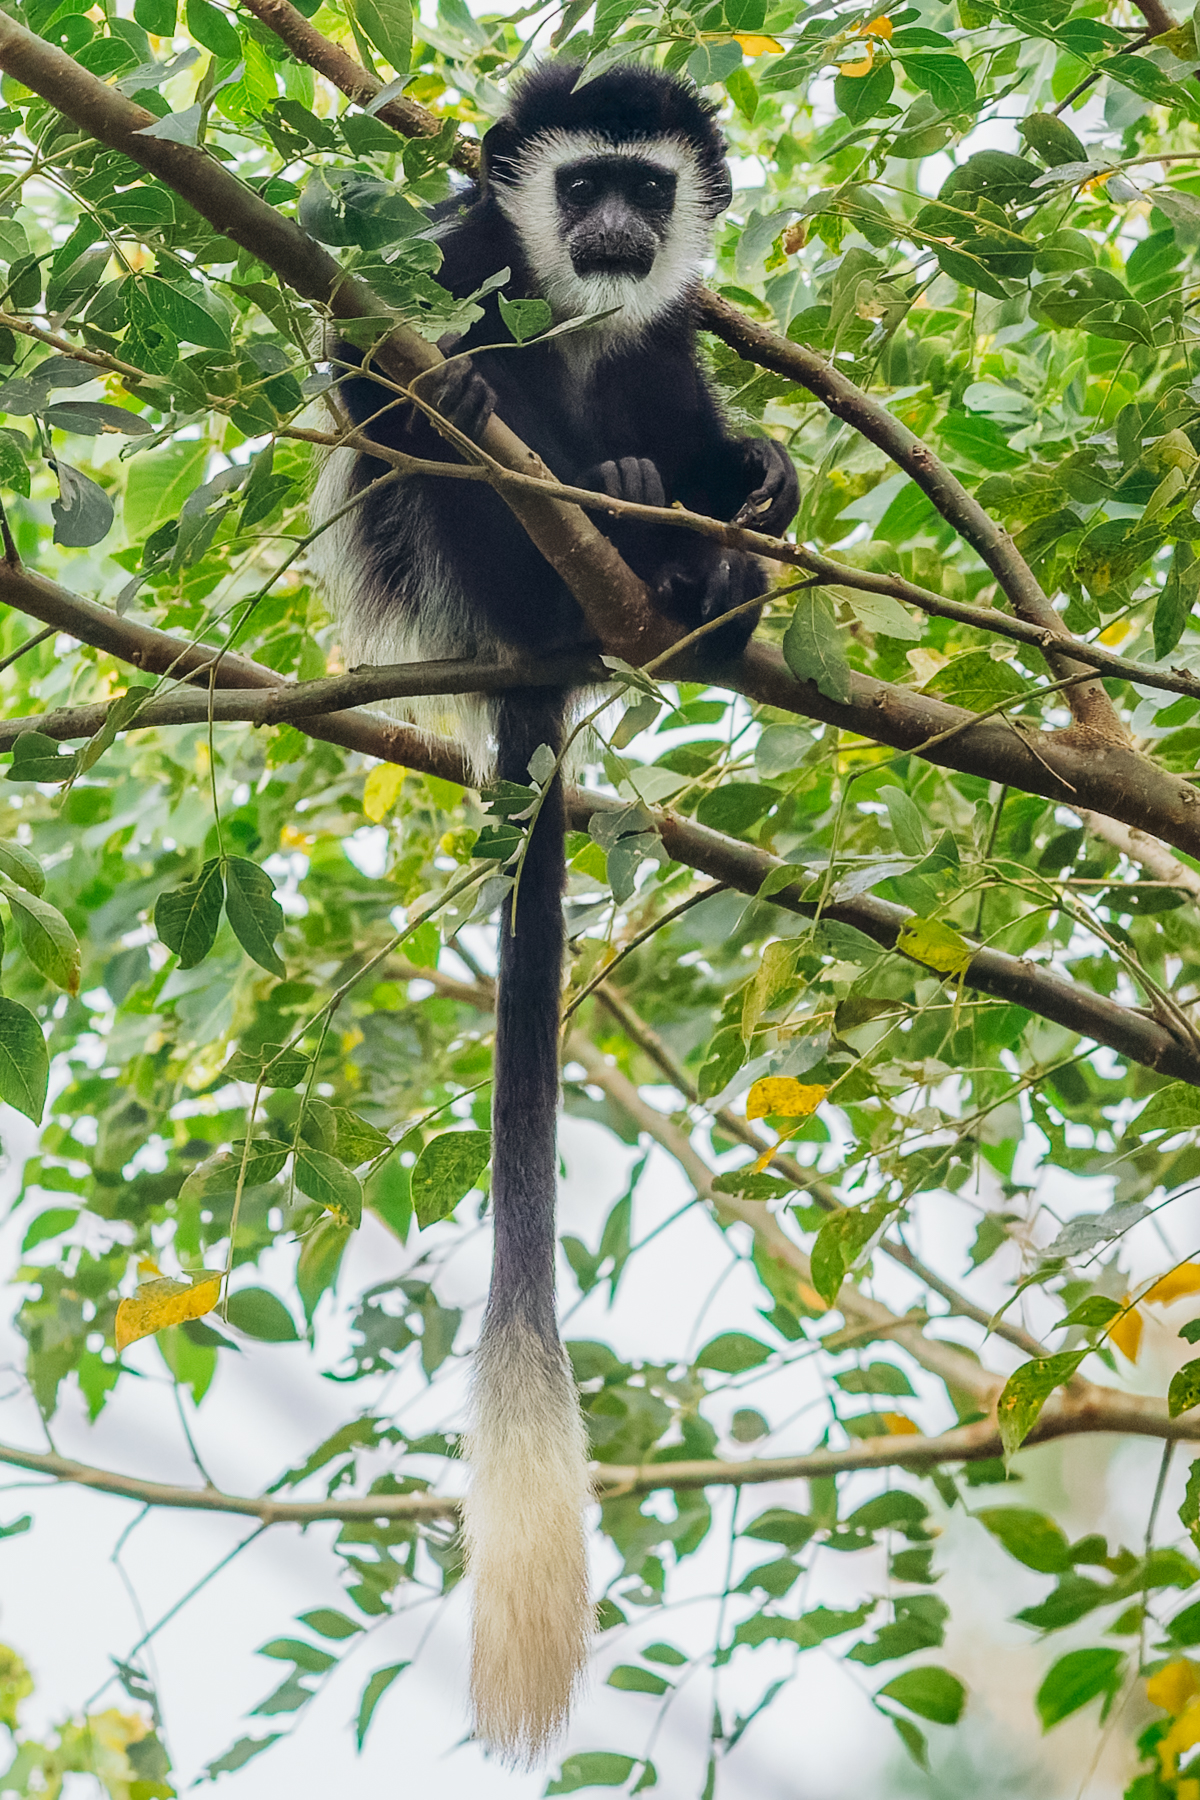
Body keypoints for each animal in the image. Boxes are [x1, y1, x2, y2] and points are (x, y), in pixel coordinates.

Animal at [310, 61, 799, 1764]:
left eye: (645, 193)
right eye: (579, 181)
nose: (606, 231)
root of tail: (540, 663)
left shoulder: (668, 334)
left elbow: (699, 402)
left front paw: (762, 481)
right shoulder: (452, 259)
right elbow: (373, 363)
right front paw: (458, 398)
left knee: (665, 461)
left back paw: (702, 565)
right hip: (485, 562)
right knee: (478, 443)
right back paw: (584, 490)